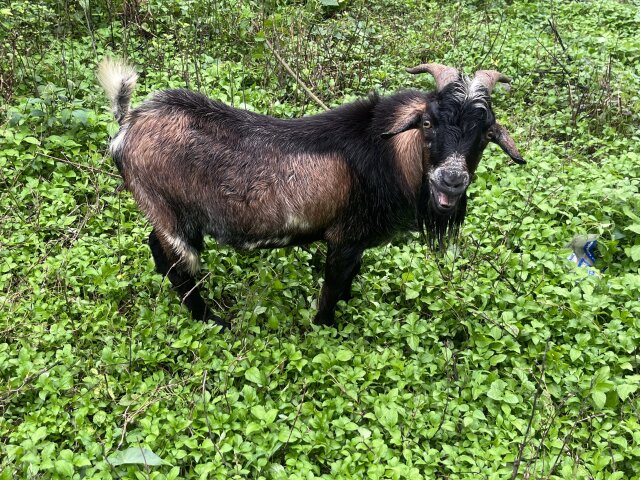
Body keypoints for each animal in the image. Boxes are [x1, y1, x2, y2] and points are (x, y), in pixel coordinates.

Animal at [97, 59, 525, 329]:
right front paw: (325, 325)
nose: (452, 180)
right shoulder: (344, 237)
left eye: (485, 134)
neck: (387, 151)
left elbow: (351, 276)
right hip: (171, 214)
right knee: (176, 262)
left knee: (157, 247)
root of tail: (129, 123)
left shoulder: (357, 240)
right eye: (428, 123)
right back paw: (211, 320)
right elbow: (333, 284)